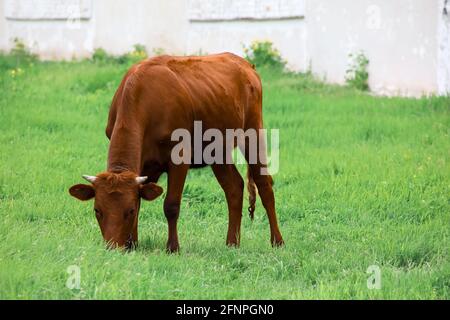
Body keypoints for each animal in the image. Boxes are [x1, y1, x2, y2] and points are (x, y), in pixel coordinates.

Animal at [68, 53, 284, 252]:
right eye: (97, 210)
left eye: (128, 211)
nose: (113, 247)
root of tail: (244, 64)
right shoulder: (144, 164)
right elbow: (141, 198)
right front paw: (133, 244)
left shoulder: (179, 156)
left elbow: (171, 205)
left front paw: (172, 247)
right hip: (218, 148)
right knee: (234, 187)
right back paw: (232, 243)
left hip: (254, 131)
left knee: (264, 184)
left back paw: (277, 241)